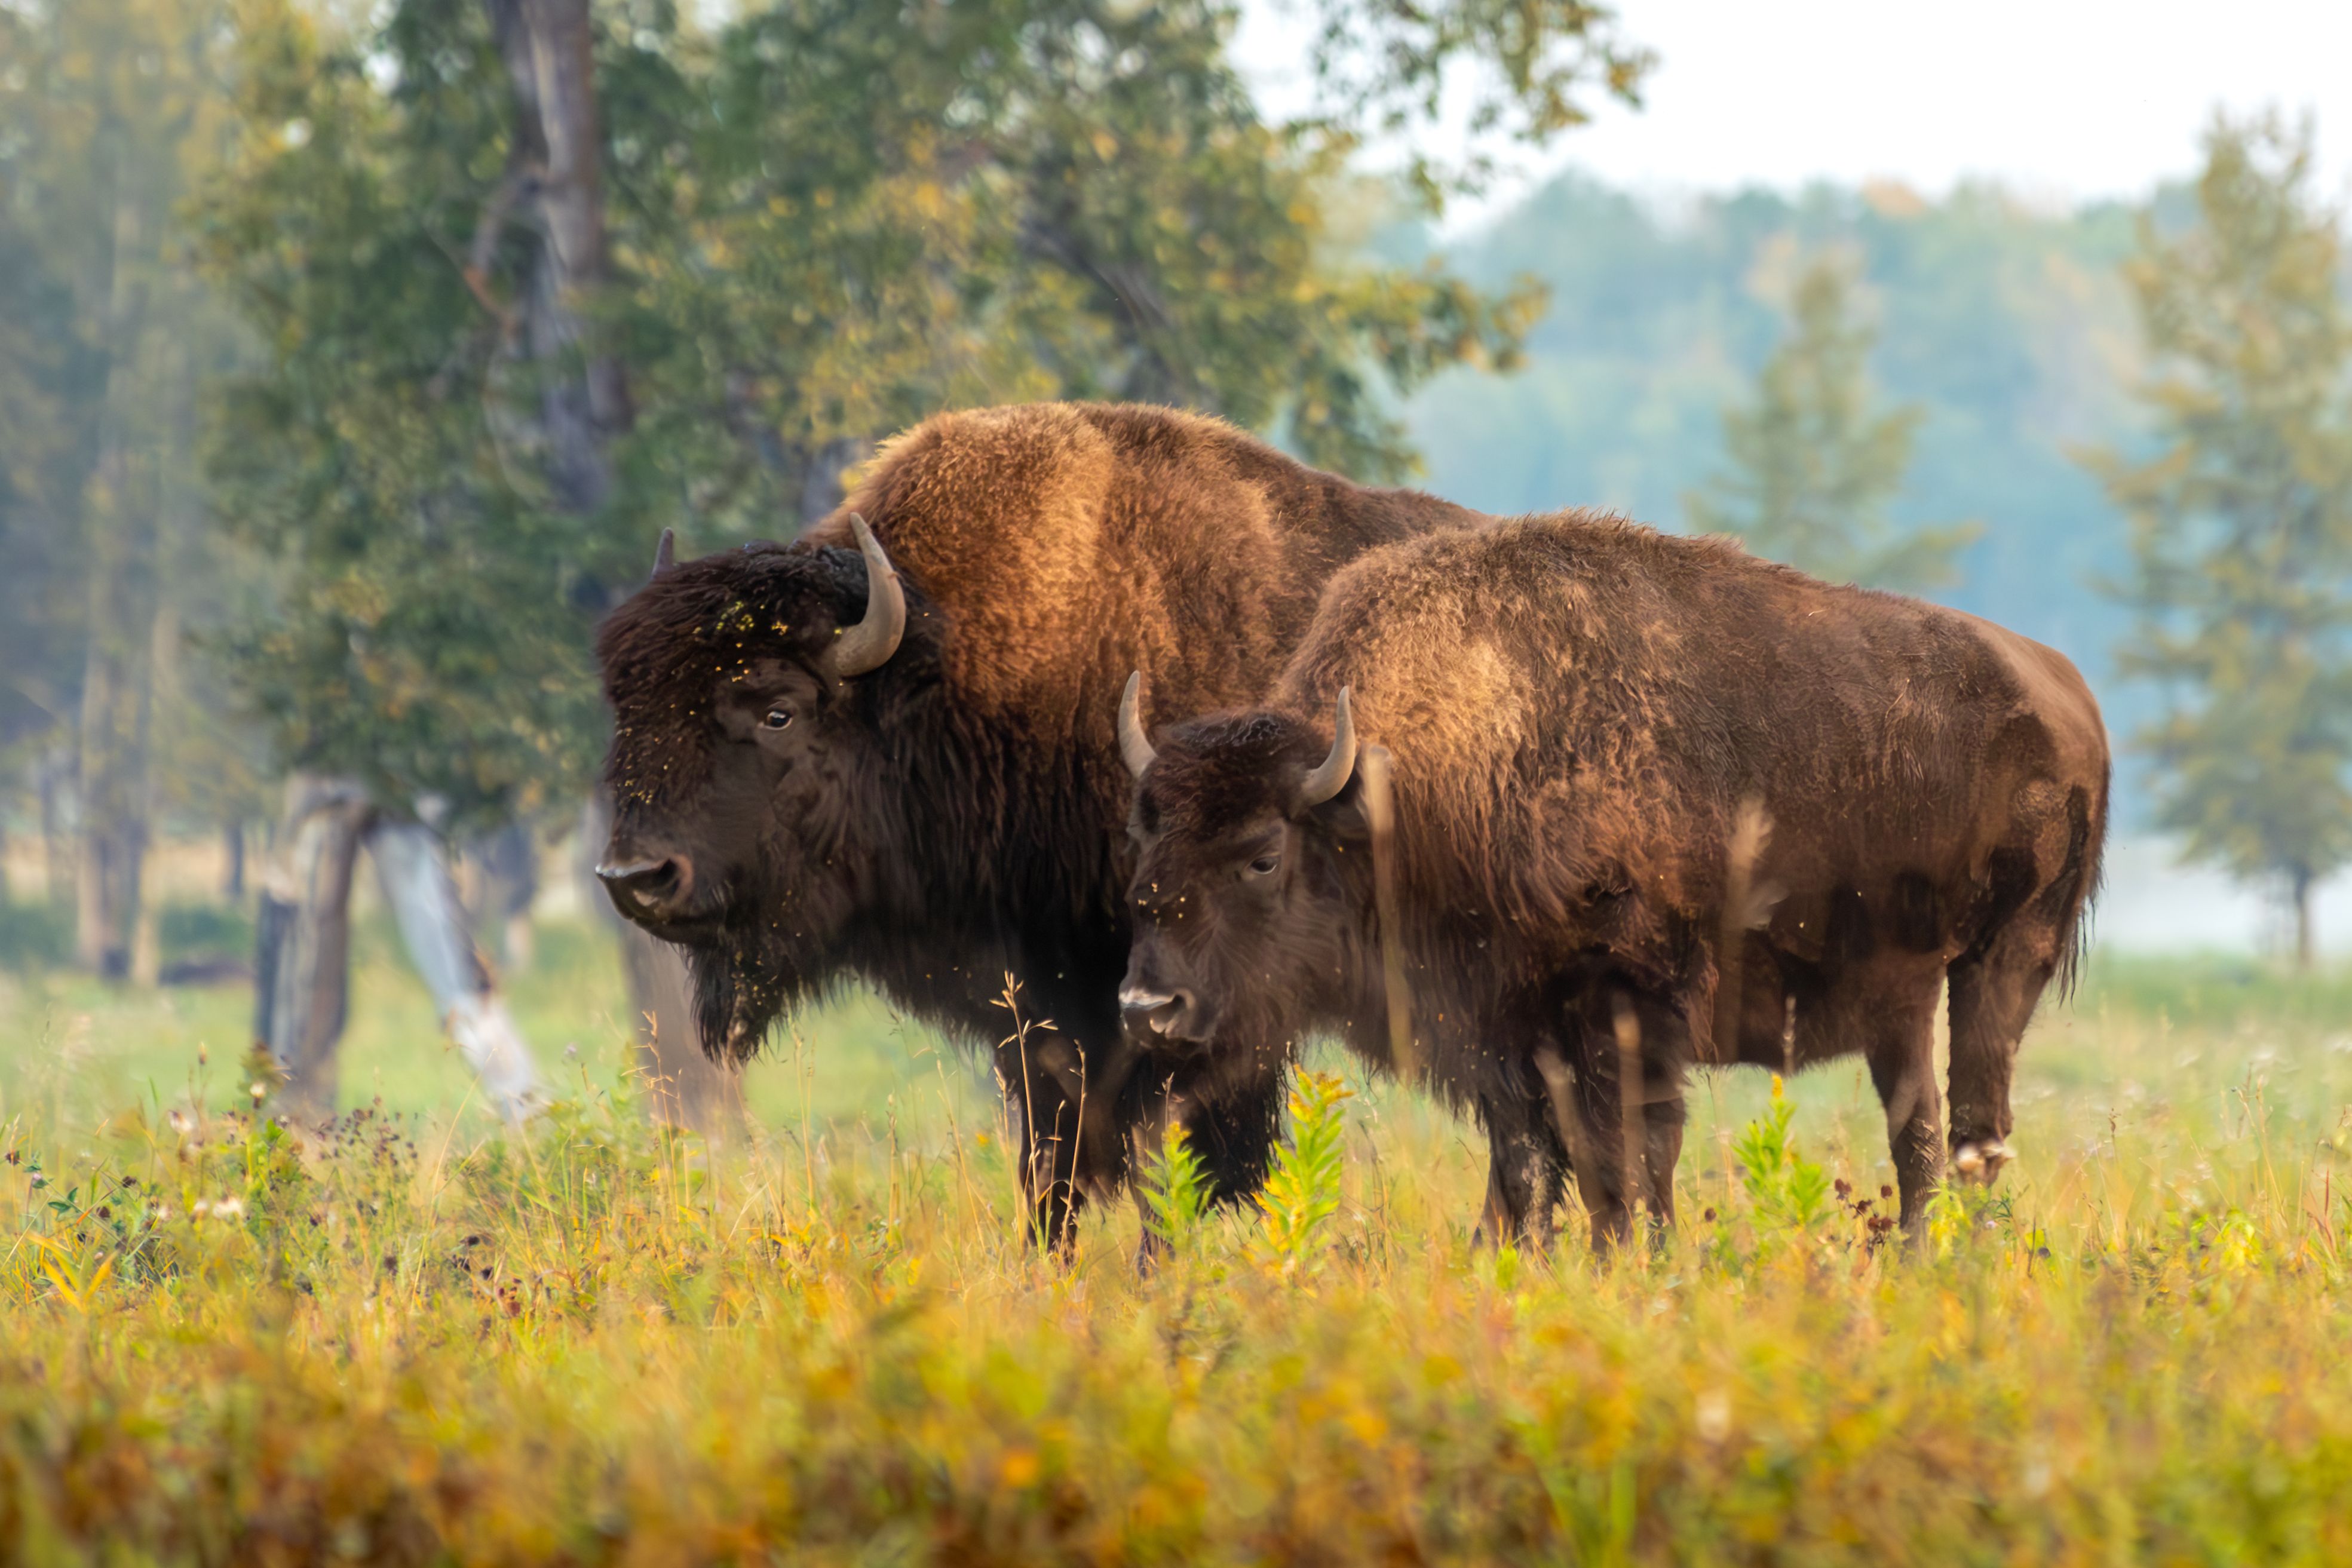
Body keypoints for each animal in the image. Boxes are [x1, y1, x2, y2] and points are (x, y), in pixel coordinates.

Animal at [593, 401, 1484, 1250]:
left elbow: (1180, 1164)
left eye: (778, 710)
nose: (637, 879)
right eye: (628, 711)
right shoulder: (1039, 1020)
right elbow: (1052, 1171)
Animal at [1116, 511, 2109, 1247]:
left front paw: (1641, 1263)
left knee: (1974, 1127)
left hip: (2002, 964)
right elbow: (1531, 1165)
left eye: (1262, 854)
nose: (1146, 1008)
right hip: (1903, 995)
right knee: (1923, 1132)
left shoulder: (1628, 1005)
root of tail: (2068, 695)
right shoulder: (1500, 1033)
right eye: (1145, 834)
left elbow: (1628, 1160)